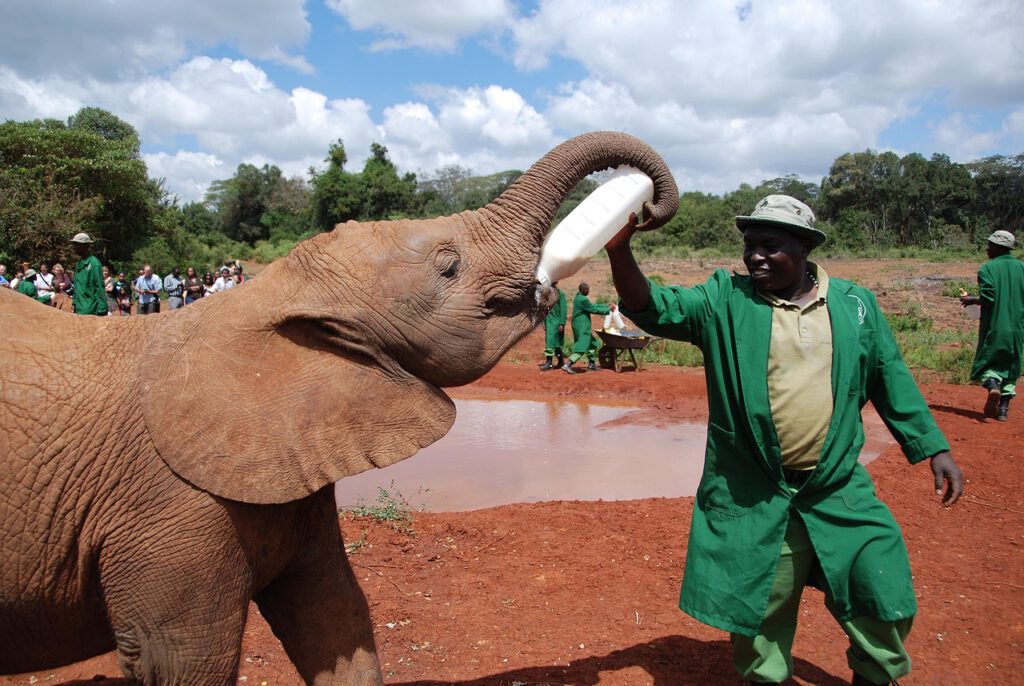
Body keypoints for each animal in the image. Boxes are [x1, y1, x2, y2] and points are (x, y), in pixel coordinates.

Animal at [0, 131, 678, 684]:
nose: (645, 210)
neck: (263, 298)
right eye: (448, 265)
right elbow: (183, 660)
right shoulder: (167, 505)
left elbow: (335, 617)